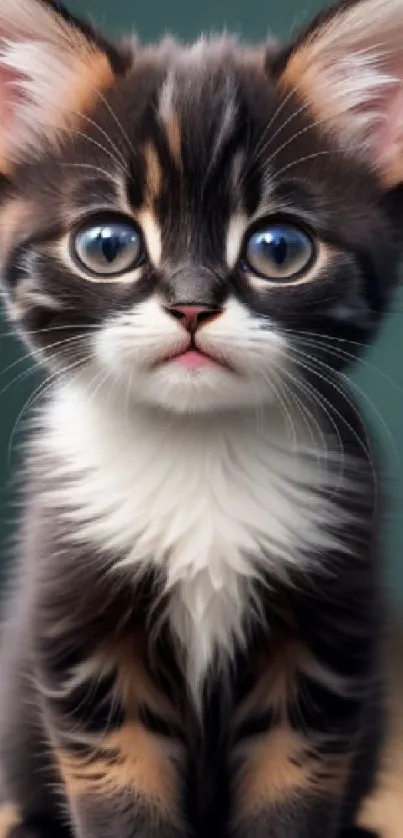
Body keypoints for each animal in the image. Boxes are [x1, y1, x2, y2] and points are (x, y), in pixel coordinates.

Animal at [0, 0, 402, 836]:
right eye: (108, 244)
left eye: (278, 248)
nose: (190, 305)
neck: (198, 447)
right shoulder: (83, 621)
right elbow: (120, 788)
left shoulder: (320, 633)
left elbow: (291, 785)